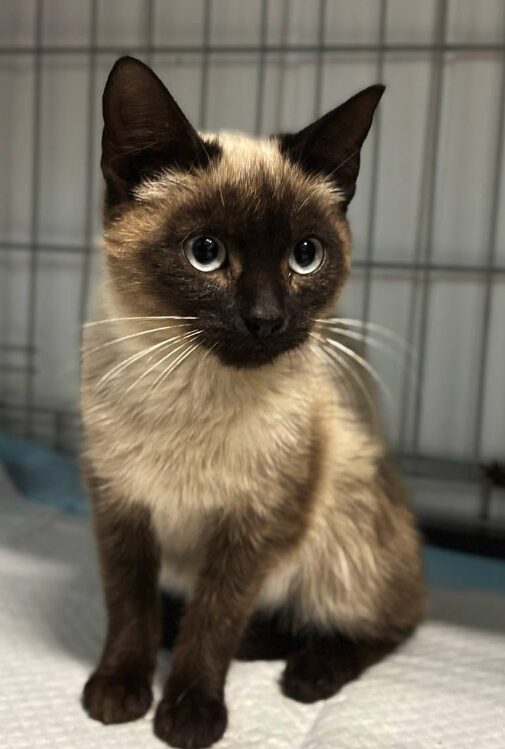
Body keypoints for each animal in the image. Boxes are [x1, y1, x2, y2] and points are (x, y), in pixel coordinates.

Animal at [79, 55, 426, 744]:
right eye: (205, 254)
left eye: (306, 256)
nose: (265, 320)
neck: (190, 392)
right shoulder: (121, 508)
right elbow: (129, 607)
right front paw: (118, 691)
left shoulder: (253, 527)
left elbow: (215, 621)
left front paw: (188, 714)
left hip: (342, 518)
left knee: (393, 617)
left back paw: (307, 671)